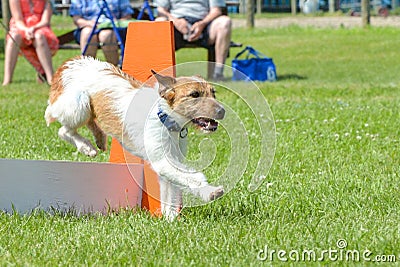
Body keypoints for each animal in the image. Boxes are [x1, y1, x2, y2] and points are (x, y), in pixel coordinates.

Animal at [45, 56, 227, 220]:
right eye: (194, 94)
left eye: (213, 93)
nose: (222, 111)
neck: (165, 118)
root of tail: (70, 63)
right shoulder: (162, 161)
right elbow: (193, 177)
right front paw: (211, 191)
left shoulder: (172, 162)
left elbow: (171, 193)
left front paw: (170, 218)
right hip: (78, 105)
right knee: (63, 129)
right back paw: (86, 147)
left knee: (86, 123)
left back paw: (100, 138)